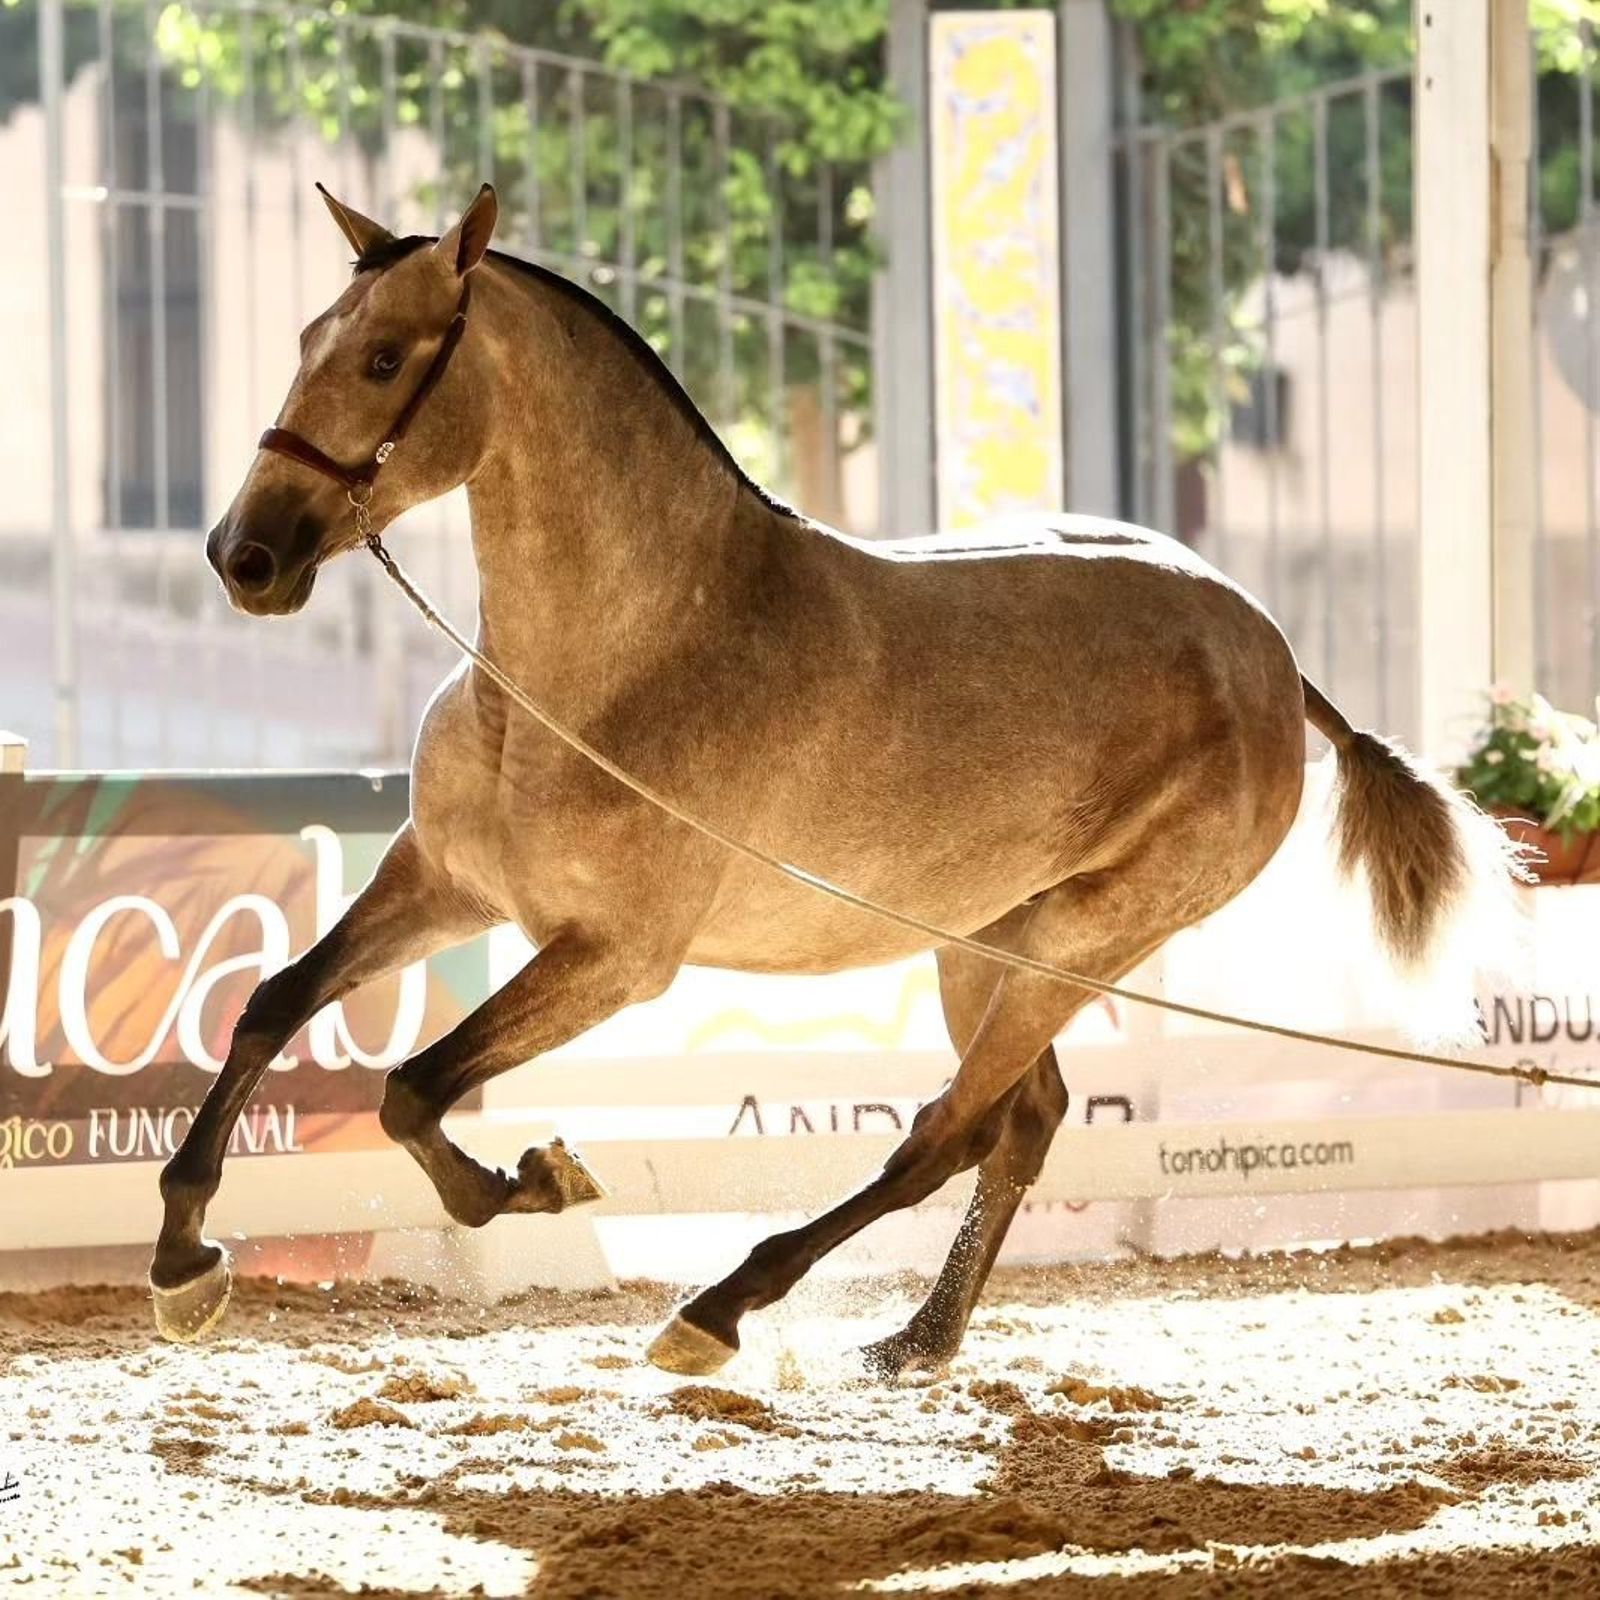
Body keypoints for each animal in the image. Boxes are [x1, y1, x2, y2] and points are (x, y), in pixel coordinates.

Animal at [151, 182, 1518, 1377]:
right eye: (310, 339)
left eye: (386, 359)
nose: (242, 555)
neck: (609, 664)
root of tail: (1273, 657)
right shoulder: (445, 879)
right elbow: (275, 1004)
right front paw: (181, 1260)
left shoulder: (614, 957)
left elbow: (412, 1089)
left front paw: (537, 1177)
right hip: (988, 942)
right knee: (1023, 1121)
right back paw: (915, 1340)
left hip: (1083, 941)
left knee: (943, 1132)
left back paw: (718, 1312)